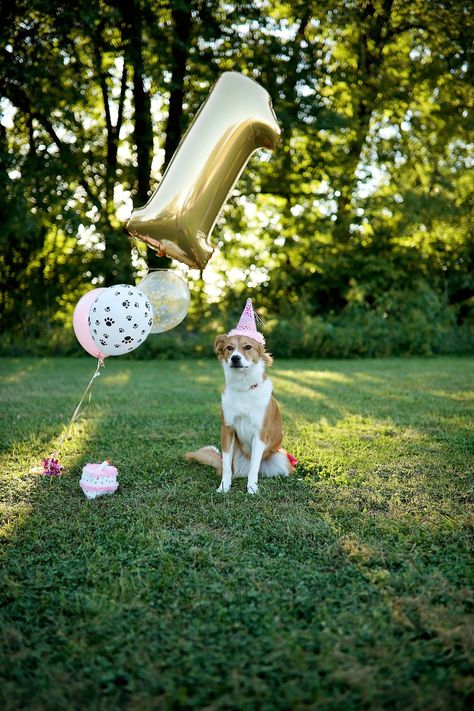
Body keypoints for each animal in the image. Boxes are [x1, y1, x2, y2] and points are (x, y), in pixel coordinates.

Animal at [184, 334, 292, 496]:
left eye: (248, 347)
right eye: (229, 348)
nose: (235, 358)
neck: (243, 388)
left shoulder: (260, 433)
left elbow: (254, 466)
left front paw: (252, 489)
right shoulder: (227, 430)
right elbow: (227, 468)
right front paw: (224, 487)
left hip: (282, 460)